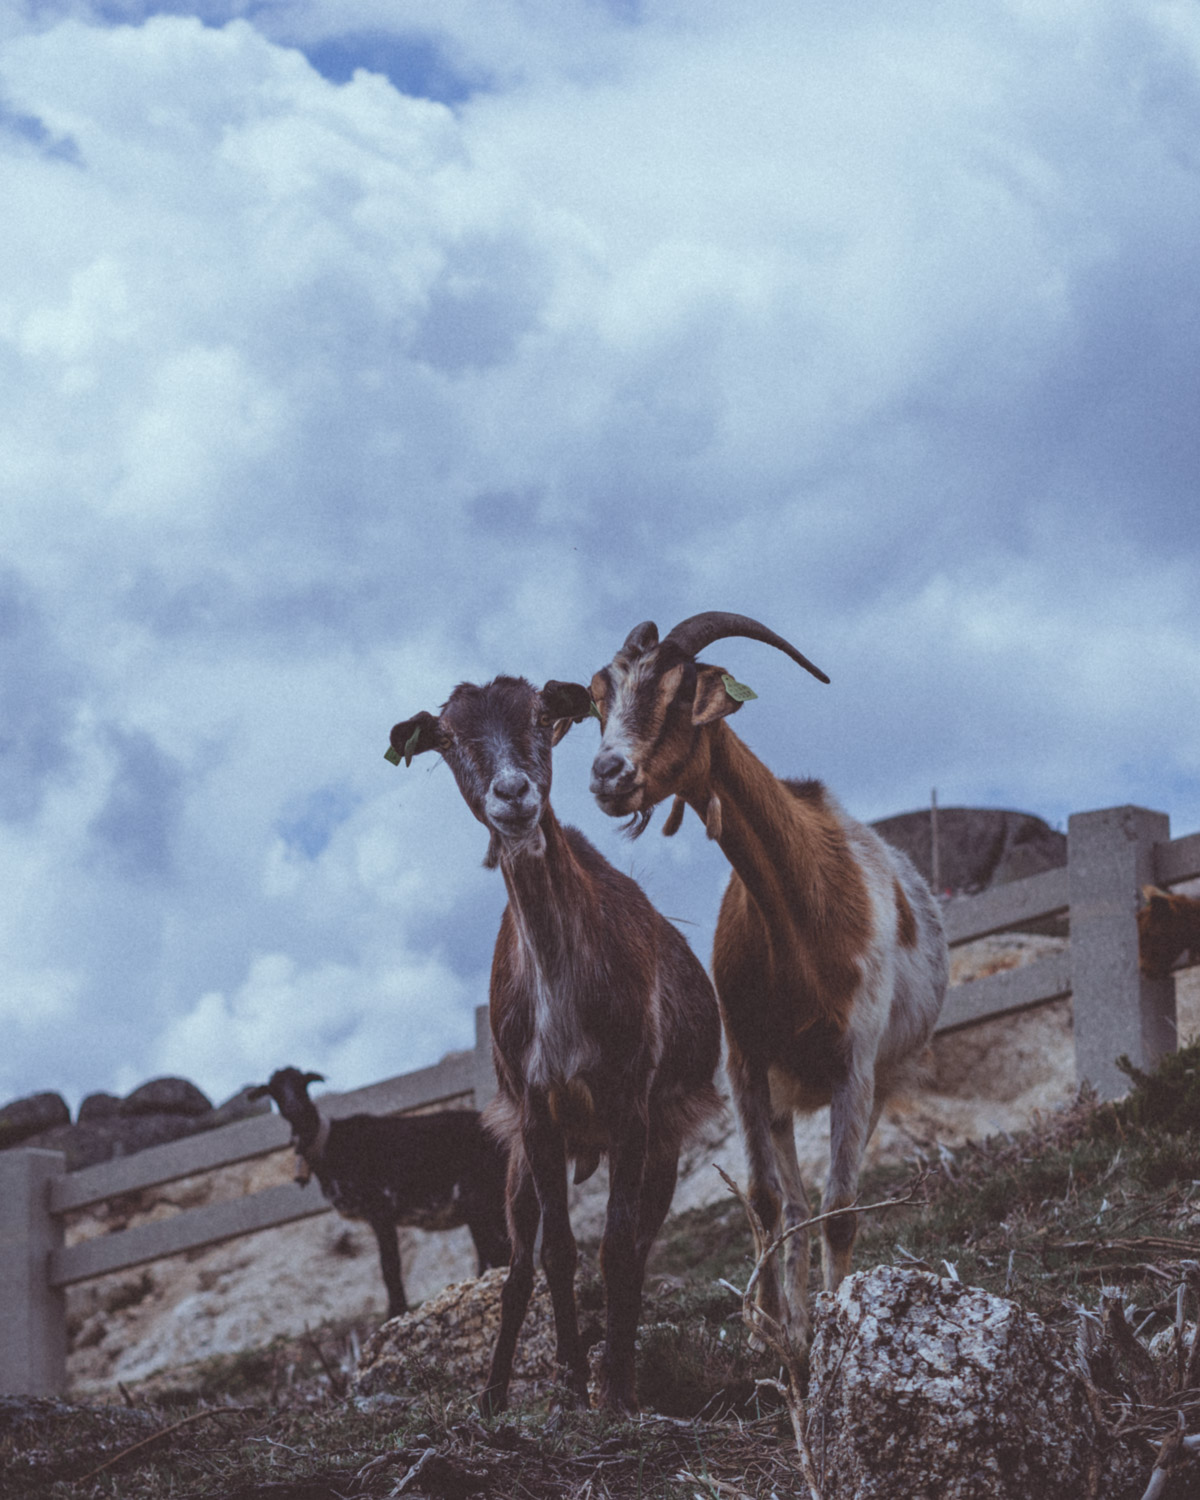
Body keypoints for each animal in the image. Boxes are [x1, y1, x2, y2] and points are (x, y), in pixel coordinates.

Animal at [249, 1062, 510, 1320]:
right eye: (274, 1091)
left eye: (302, 1083)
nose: (295, 1108)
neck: (329, 1144)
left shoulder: (380, 1208)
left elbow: (389, 1266)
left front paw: (396, 1312)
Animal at [390, 681, 723, 1416]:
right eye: (448, 737)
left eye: (542, 715)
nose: (514, 792)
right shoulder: (536, 1110)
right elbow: (555, 1254)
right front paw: (566, 1376)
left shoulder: (632, 1102)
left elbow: (617, 1249)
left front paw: (616, 1391)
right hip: (515, 1160)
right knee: (519, 1262)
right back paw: (493, 1394)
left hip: (664, 1140)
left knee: (641, 1243)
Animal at [582, 615, 948, 1356]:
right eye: (600, 698)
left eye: (680, 692)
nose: (608, 774)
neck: (804, 907)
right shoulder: (746, 1060)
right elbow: (765, 1199)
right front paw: (778, 1328)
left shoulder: (855, 1064)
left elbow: (842, 1210)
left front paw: (838, 1328)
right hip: (781, 1094)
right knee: (793, 1200)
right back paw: (790, 1321)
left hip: (877, 1081)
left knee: (828, 1202)